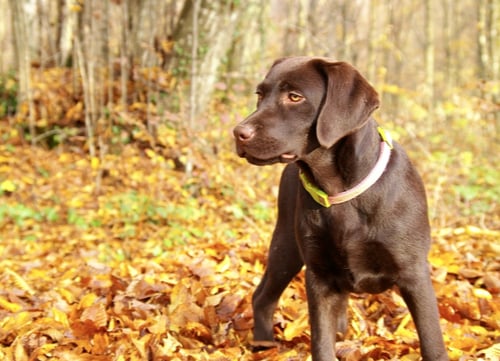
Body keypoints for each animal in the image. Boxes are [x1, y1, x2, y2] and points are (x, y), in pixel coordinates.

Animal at [234, 57, 450, 360]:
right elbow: (321, 344)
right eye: (260, 95)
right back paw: (264, 346)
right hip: (286, 245)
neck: (341, 192)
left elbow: (432, 344)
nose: (238, 133)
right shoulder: (319, 276)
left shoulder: (414, 273)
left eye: (295, 97)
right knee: (262, 297)